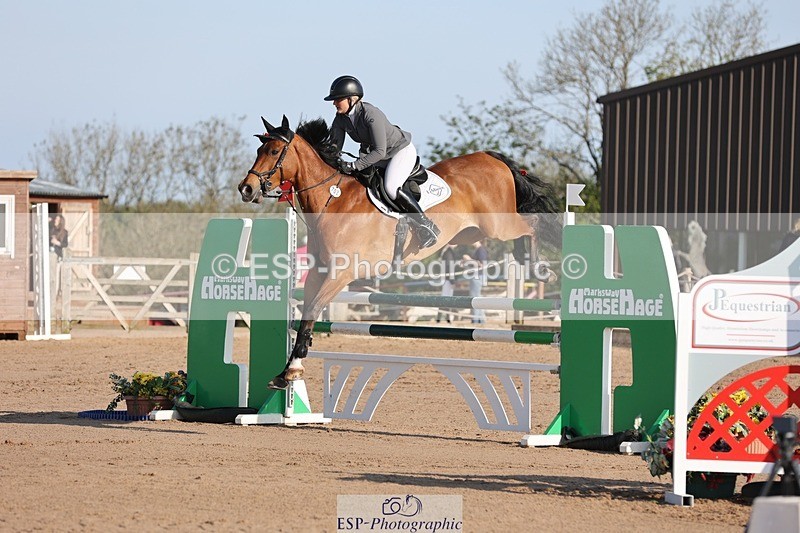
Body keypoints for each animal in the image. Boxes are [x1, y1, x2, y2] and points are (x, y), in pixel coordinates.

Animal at [237, 115, 561, 389]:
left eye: (274, 150)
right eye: (259, 148)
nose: (246, 189)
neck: (332, 200)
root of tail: (491, 158)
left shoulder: (340, 275)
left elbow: (312, 313)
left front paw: (292, 371)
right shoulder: (319, 273)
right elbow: (306, 313)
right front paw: (287, 371)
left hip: (497, 225)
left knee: (532, 224)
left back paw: (540, 269)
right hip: (476, 231)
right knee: (522, 233)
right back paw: (527, 261)